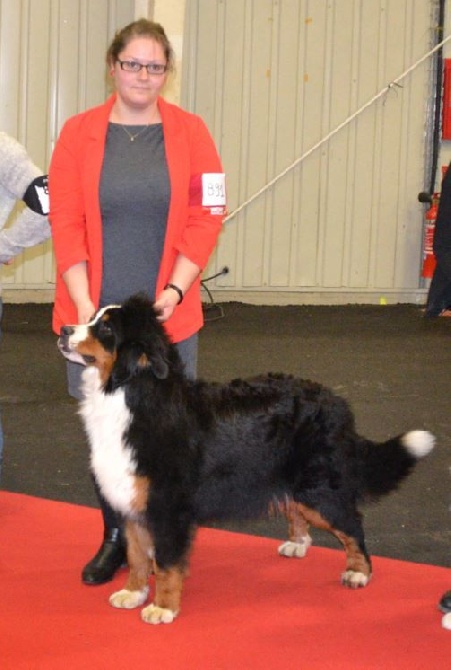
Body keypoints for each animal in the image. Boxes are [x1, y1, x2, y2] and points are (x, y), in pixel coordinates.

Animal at [58, 296, 432, 628]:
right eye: (91, 317)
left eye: (106, 328)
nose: (63, 329)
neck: (131, 395)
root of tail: (336, 402)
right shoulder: (132, 499)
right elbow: (136, 555)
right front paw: (133, 592)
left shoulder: (168, 506)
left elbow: (166, 564)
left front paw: (162, 607)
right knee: (298, 510)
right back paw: (298, 543)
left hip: (318, 488)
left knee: (352, 524)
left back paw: (358, 571)